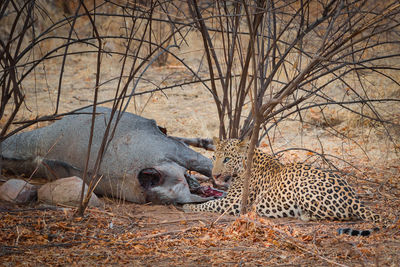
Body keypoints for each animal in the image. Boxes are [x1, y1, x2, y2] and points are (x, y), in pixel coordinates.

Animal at [184, 138, 384, 237]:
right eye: (214, 157)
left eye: (226, 159)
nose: (215, 175)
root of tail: (355, 199)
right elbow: (213, 198)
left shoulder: (234, 203)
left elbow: (208, 204)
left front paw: (188, 206)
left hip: (304, 186)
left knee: (336, 215)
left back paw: (304, 215)